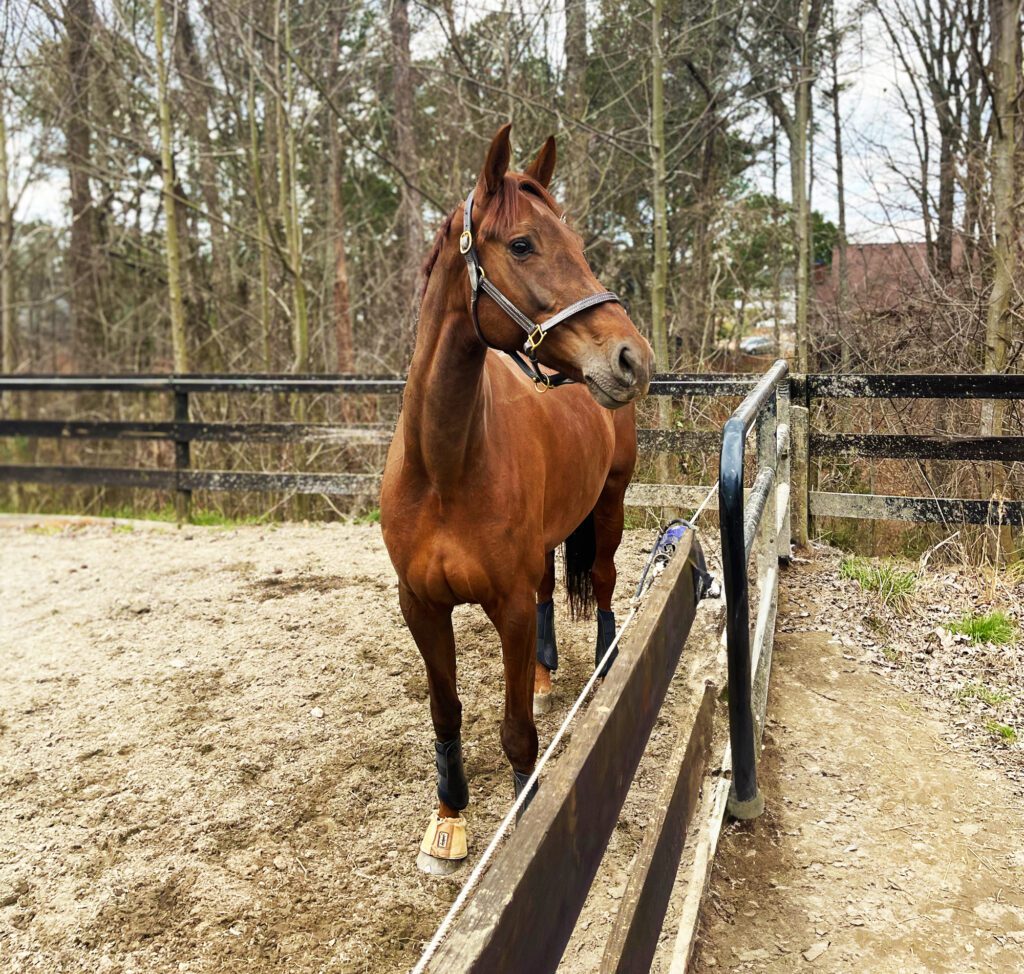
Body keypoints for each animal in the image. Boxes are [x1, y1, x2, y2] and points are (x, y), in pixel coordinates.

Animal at [380, 124, 654, 873]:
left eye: (579, 244)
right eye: (524, 244)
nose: (632, 358)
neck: (444, 468)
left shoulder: (501, 603)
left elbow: (517, 735)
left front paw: (523, 827)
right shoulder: (421, 605)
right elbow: (446, 712)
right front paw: (448, 821)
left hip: (611, 504)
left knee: (606, 583)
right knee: (546, 596)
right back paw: (544, 674)